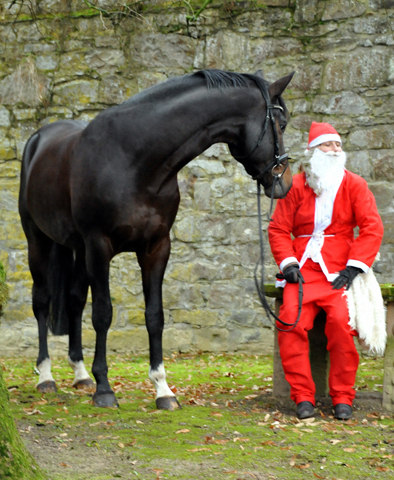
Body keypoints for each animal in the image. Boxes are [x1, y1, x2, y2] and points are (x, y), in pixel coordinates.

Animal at [20, 68, 294, 408]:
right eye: (281, 124)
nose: (284, 184)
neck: (134, 160)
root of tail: (38, 140)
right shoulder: (99, 247)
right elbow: (103, 314)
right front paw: (105, 389)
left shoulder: (156, 248)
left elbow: (154, 316)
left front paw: (163, 390)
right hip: (38, 241)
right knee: (42, 302)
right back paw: (46, 376)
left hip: (77, 249)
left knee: (74, 302)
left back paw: (81, 374)